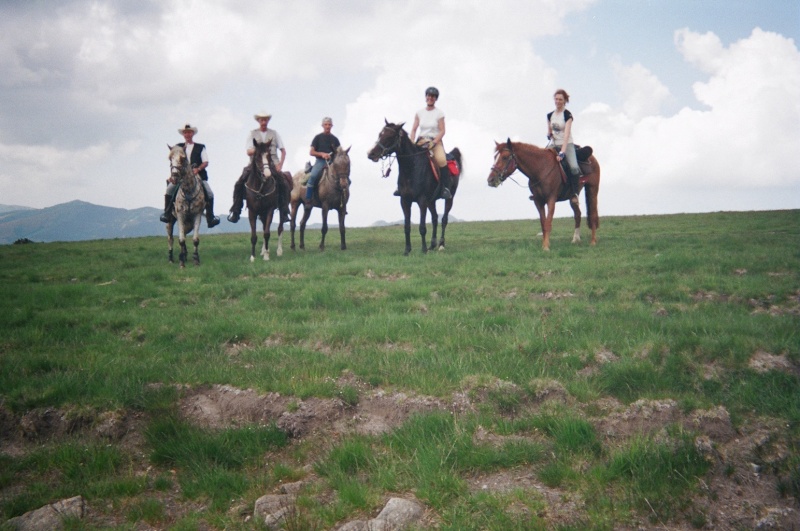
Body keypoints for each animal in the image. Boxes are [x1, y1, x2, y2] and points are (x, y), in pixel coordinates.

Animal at [366, 120, 460, 256]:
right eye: (380, 134)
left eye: (390, 136)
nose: (371, 154)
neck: (411, 168)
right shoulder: (405, 201)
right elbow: (407, 227)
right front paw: (407, 250)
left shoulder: (422, 201)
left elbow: (422, 227)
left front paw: (423, 249)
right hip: (431, 201)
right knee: (435, 218)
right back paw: (432, 245)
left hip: (449, 198)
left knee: (444, 219)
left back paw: (441, 245)